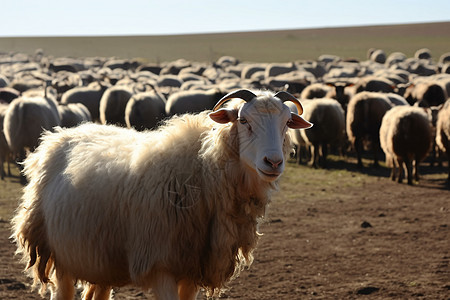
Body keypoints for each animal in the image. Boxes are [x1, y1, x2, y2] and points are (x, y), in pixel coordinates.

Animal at [11, 89, 312, 300]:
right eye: (243, 120)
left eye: (287, 122)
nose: (273, 162)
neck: (203, 172)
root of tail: (58, 136)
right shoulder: (160, 266)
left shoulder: (192, 269)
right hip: (57, 252)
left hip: (98, 259)